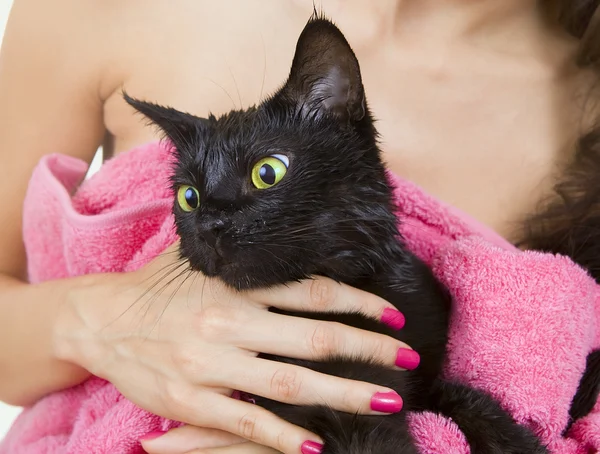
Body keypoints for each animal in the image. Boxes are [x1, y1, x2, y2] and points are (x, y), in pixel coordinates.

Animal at [125, 14, 548, 454]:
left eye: (267, 172)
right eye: (188, 196)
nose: (210, 227)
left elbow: (464, 397)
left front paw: (516, 440)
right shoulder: (339, 395)